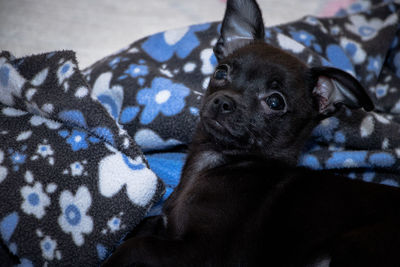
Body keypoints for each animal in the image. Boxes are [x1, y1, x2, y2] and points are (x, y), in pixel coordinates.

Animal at [104, 1, 400, 266]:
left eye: (275, 102)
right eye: (221, 72)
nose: (223, 102)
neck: (217, 161)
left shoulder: (200, 252)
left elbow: (135, 245)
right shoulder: (164, 224)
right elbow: (141, 226)